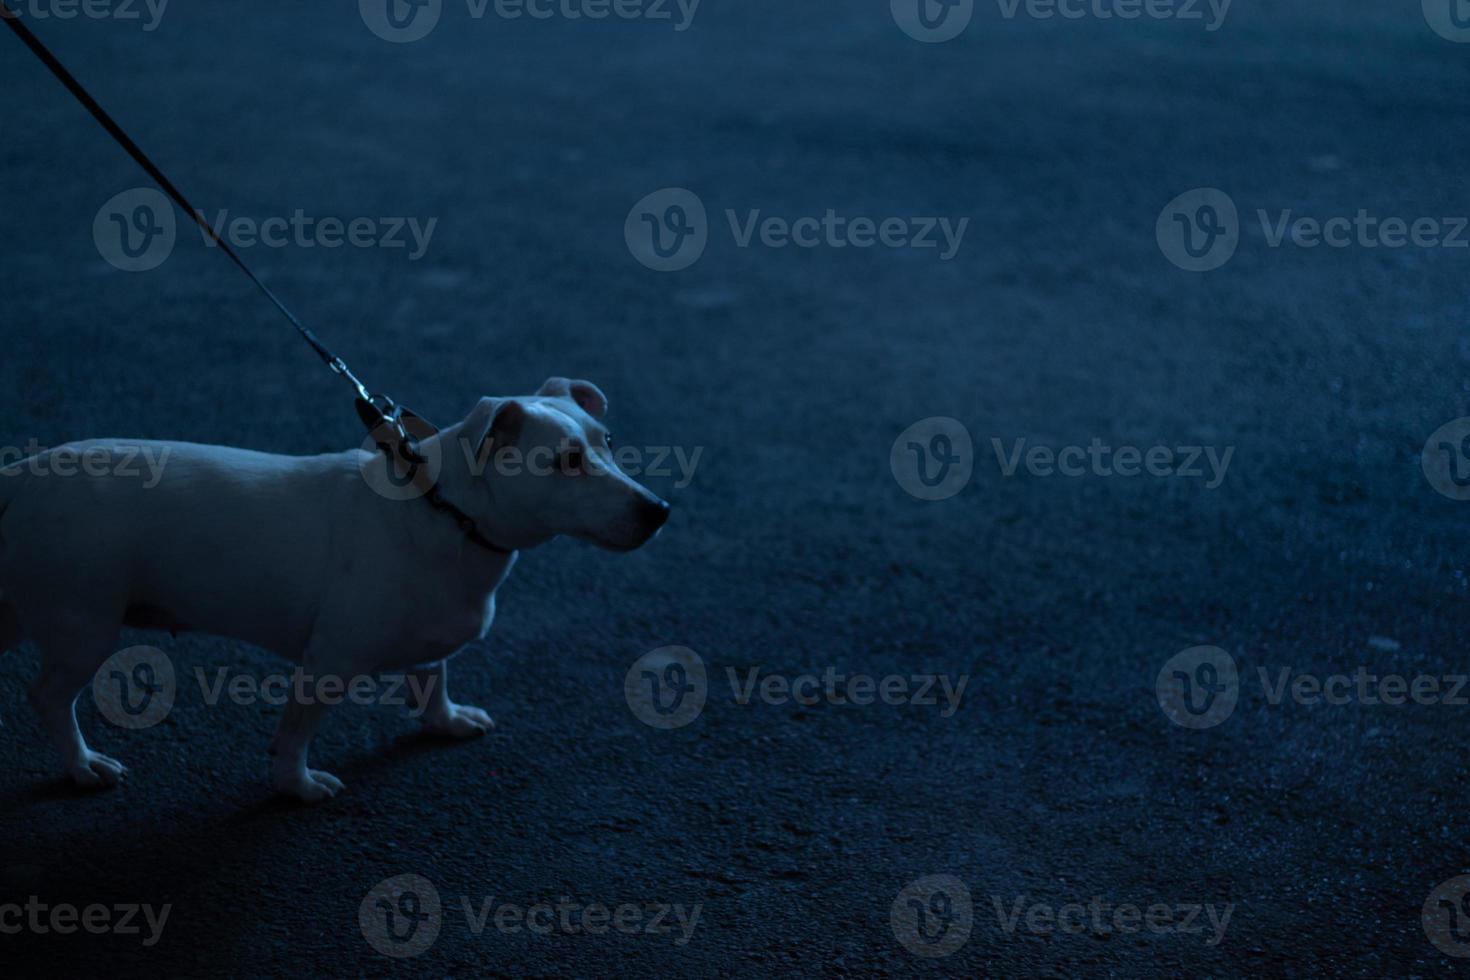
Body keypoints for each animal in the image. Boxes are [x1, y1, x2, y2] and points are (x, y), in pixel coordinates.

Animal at [0, 379, 673, 799]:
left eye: (608, 442)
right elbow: (298, 729)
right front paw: (296, 786)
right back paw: (82, 765)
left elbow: (434, 676)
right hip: (84, 626)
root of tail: (24, 475)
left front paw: (446, 720)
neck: (443, 510)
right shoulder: (328, 660)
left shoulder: (433, 632)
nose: (659, 511)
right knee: (48, 697)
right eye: (565, 462)